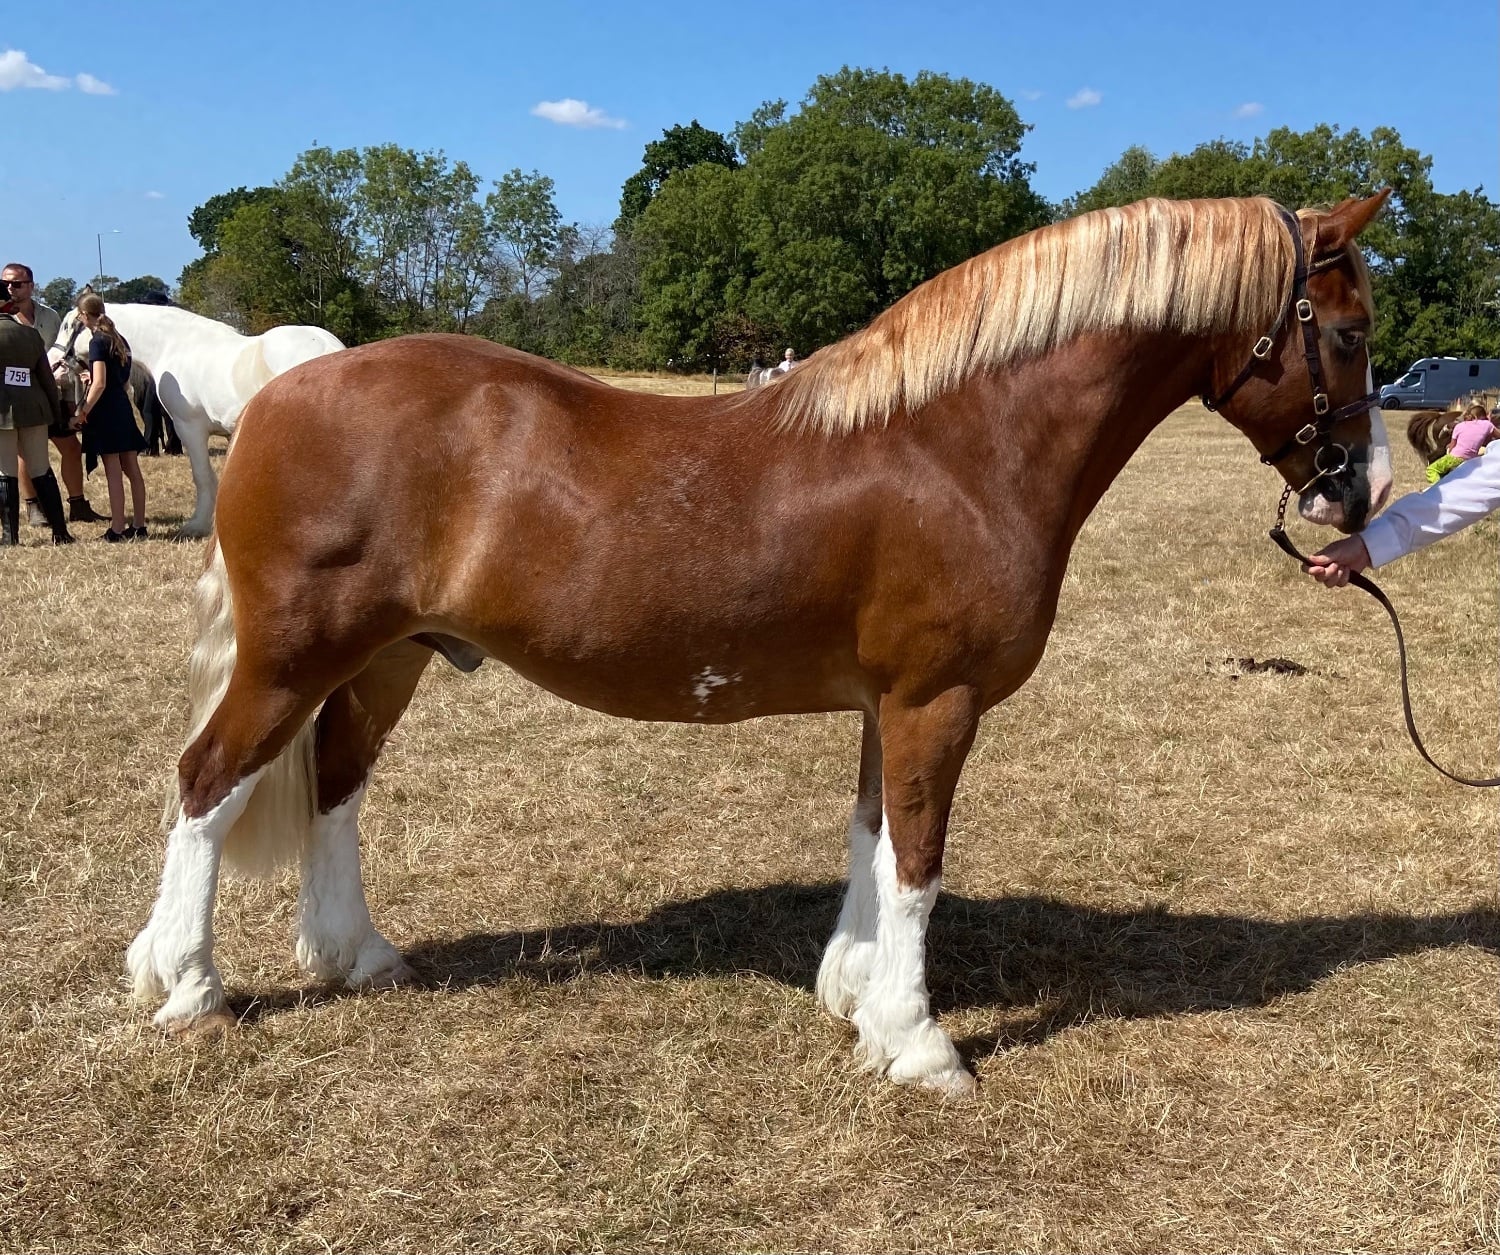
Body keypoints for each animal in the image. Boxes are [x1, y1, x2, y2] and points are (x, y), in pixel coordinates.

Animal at [54, 302, 344, 537]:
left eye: (69, 325)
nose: (54, 361)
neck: (176, 346)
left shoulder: (189, 428)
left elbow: (203, 476)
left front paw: (198, 524)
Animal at [126, 193, 1393, 1095]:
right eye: (1346, 332)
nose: (1358, 493)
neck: (961, 442)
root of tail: (281, 393)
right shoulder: (937, 699)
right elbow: (919, 862)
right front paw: (921, 1045)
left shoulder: (891, 702)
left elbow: (872, 839)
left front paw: (854, 995)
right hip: (293, 658)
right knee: (206, 784)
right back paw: (190, 985)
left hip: (388, 656)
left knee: (335, 785)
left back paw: (359, 955)